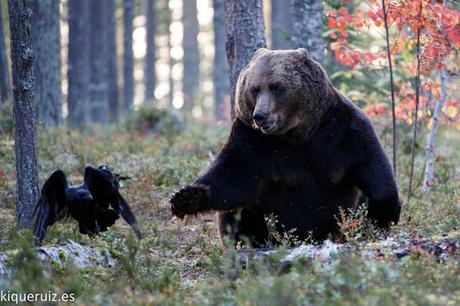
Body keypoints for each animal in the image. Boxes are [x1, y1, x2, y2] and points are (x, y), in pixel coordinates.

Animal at [169, 48, 398, 246]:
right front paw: (185, 197)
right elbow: (233, 176)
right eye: (254, 88)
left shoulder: (340, 131)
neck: (296, 132)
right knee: (238, 213)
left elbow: (369, 165)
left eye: (276, 86)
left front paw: (382, 216)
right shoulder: (252, 140)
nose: (260, 116)